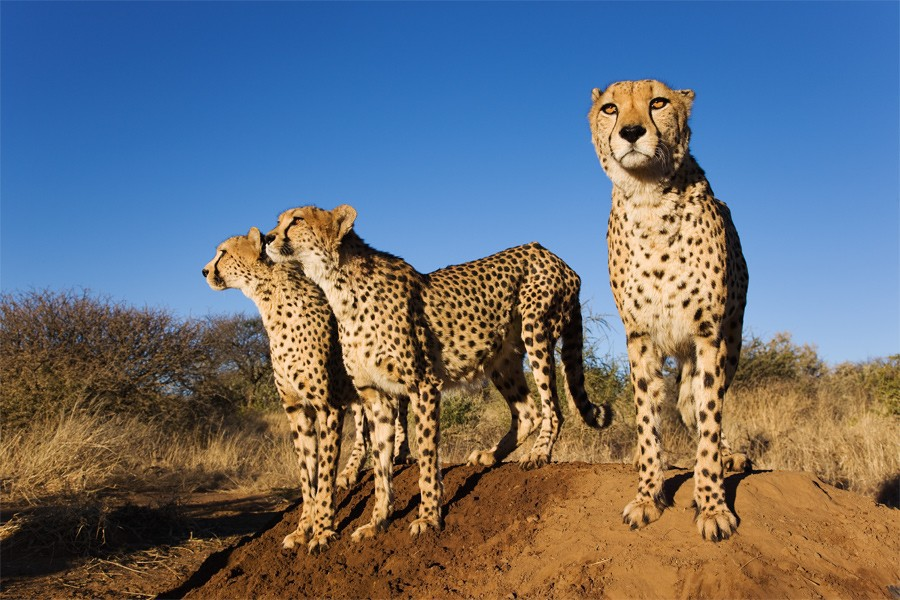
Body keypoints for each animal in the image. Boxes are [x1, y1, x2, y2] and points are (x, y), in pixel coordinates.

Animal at [202, 229, 410, 552]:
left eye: (222, 252)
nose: (204, 271)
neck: (269, 302)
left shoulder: (327, 407)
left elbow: (323, 475)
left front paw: (323, 530)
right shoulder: (296, 410)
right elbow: (306, 475)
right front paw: (303, 529)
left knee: (401, 415)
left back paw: (401, 454)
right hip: (355, 393)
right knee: (364, 430)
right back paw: (351, 472)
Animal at [262, 205, 612, 540]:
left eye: (296, 220)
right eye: (278, 221)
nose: (267, 237)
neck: (339, 287)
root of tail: (556, 258)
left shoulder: (423, 385)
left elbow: (428, 457)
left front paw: (429, 517)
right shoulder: (376, 396)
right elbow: (380, 467)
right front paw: (377, 522)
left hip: (536, 330)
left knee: (552, 406)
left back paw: (539, 454)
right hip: (500, 359)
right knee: (527, 411)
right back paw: (490, 456)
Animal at [592, 77, 752, 540]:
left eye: (658, 103)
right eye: (610, 108)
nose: (631, 132)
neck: (649, 200)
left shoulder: (708, 335)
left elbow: (709, 418)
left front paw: (713, 504)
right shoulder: (640, 337)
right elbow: (648, 419)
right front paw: (648, 495)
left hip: (730, 342)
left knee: (701, 402)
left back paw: (727, 457)